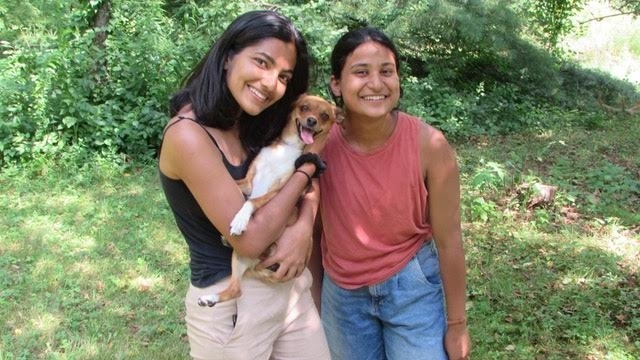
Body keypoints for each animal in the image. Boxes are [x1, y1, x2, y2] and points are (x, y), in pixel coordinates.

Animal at [198, 93, 342, 306]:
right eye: (304, 107)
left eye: (324, 115)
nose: (312, 121)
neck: (288, 147)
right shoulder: (249, 182)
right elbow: (236, 184)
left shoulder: (279, 191)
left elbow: (251, 201)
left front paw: (240, 220)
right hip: (239, 257)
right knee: (235, 289)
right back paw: (211, 297)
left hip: (304, 242)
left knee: (237, 289)